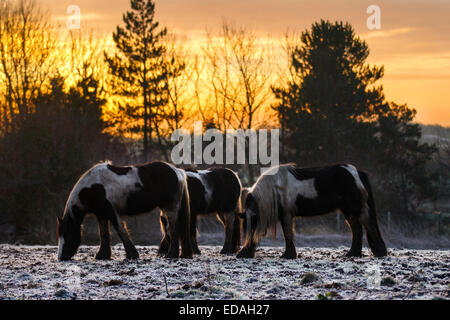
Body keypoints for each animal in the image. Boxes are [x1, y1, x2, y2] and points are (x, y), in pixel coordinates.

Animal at [56, 161, 192, 262]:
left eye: (67, 233)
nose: (61, 257)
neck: (94, 187)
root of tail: (177, 171)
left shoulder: (111, 211)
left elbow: (120, 230)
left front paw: (132, 255)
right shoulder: (101, 214)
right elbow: (104, 233)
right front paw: (102, 255)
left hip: (170, 208)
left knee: (173, 229)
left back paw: (171, 254)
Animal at [237, 164, 388, 258]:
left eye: (254, 224)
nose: (243, 254)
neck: (276, 188)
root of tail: (356, 173)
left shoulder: (286, 215)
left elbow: (287, 234)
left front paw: (288, 255)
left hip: (357, 210)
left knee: (368, 227)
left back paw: (379, 252)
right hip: (349, 211)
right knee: (357, 230)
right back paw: (353, 253)